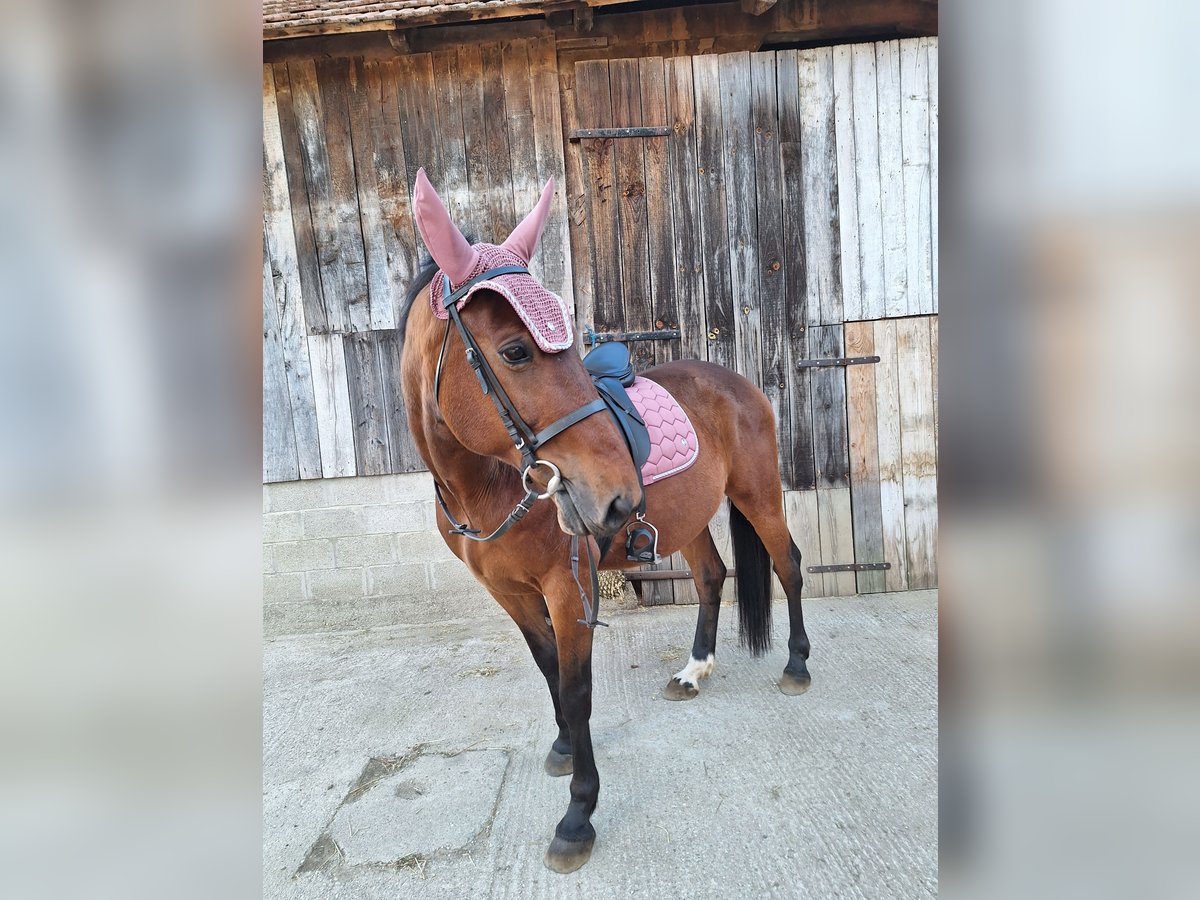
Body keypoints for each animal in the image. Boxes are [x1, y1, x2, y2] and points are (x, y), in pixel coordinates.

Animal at [398, 169, 811, 873]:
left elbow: (578, 689)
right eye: (515, 351)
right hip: (689, 519)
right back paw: (693, 670)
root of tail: (738, 383)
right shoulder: (510, 594)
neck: (486, 487)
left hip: (759, 496)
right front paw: (565, 750)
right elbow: (549, 673)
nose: (618, 498)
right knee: (711, 576)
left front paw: (578, 816)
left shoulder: (569, 589)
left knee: (788, 565)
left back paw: (797, 666)